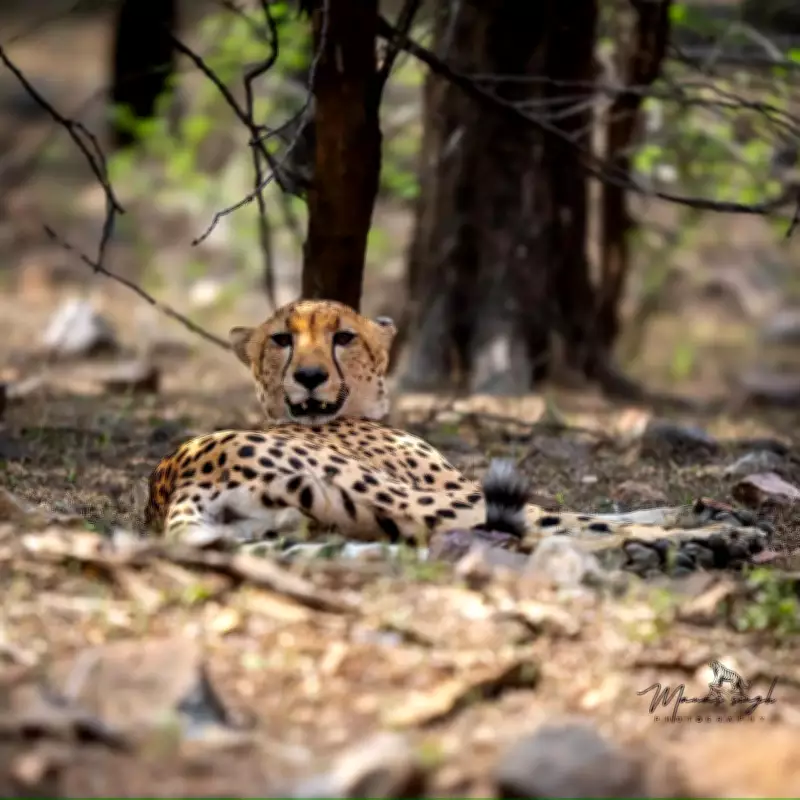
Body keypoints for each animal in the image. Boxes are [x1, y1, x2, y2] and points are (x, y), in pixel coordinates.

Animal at [144, 299, 771, 573]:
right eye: (281, 340)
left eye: (344, 337)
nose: (310, 376)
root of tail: (174, 477)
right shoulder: (456, 489)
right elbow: (586, 514)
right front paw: (704, 520)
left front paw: (699, 510)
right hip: (409, 500)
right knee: (540, 531)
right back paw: (703, 544)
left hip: (335, 527)